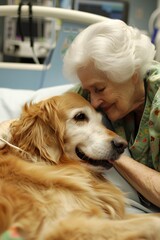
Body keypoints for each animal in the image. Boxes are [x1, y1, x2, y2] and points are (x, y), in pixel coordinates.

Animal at [0, 92, 160, 240]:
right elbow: (152, 223)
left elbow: (152, 216)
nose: (122, 145)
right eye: (80, 117)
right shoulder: (64, 226)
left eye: (101, 121)